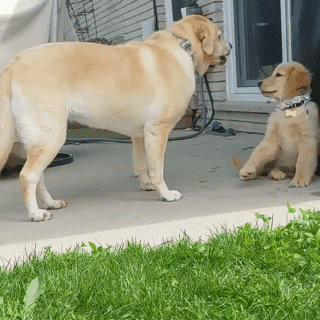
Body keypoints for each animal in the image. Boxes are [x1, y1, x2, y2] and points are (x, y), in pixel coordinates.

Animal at [0, 14, 231, 220]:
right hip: (51, 137)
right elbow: (157, 168)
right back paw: (35, 213)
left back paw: (50, 203)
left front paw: (147, 185)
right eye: (219, 36)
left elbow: (141, 164)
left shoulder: (140, 135)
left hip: (41, 141)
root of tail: (15, 62)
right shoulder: (157, 130)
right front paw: (165, 194)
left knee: (38, 177)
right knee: (27, 176)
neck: (183, 46)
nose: (230, 45)